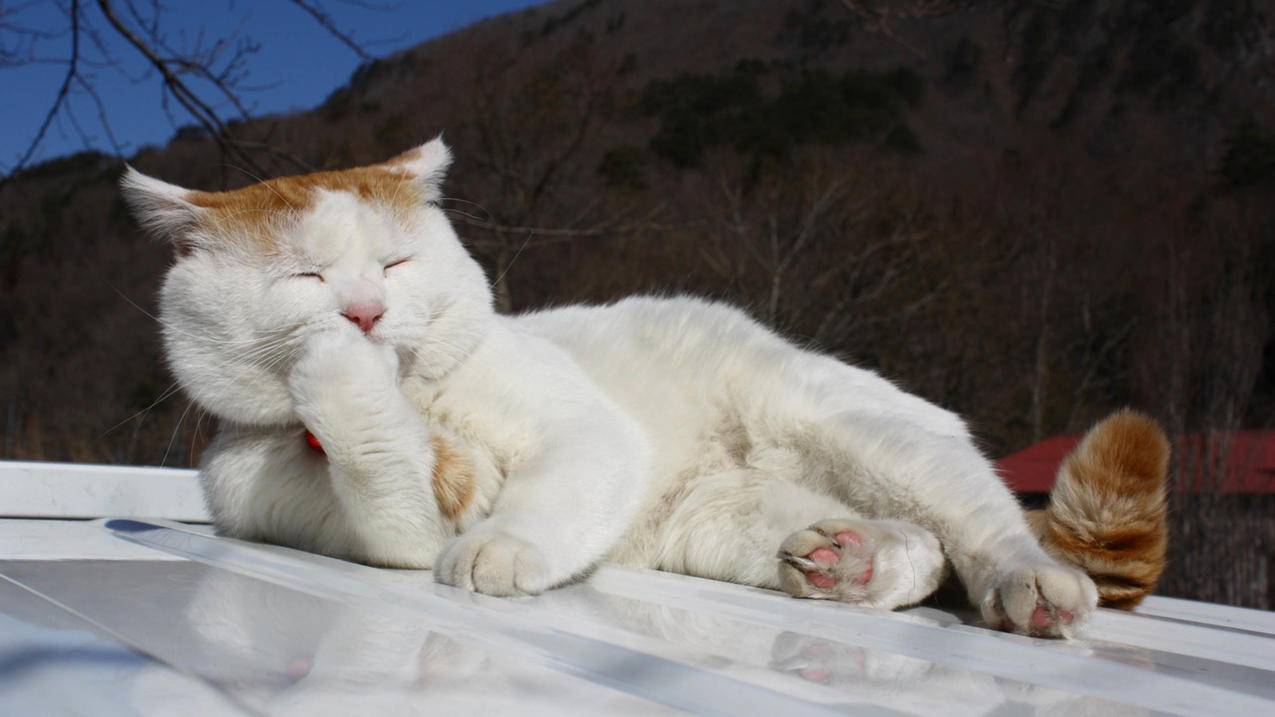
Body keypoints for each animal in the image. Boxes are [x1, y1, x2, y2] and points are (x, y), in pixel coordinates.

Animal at [119, 138, 1167, 635]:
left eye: (396, 261)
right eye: (305, 277)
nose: (366, 312)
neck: (424, 405)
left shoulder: (583, 430)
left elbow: (539, 492)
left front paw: (501, 545)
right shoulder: (350, 514)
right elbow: (390, 485)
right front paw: (344, 380)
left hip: (854, 429)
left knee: (981, 525)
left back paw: (1029, 586)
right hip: (723, 519)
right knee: (919, 550)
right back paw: (847, 560)